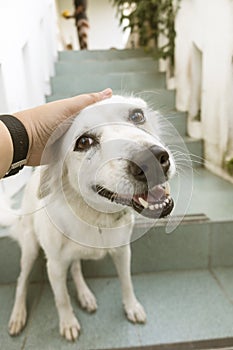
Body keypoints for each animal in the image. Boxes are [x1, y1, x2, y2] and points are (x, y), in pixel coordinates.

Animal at [8, 95, 175, 342]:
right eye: (84, 142)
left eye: (137, 116)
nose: (153, 160)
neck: (96, 218)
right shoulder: (54, 266)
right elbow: (61, 298)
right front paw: (68, 322)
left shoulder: (123, 251)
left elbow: (126, 282)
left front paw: (131, 307)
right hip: (30, 248)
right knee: (21, 280)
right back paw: (18, 314)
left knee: (76, 267)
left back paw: (85, 295)